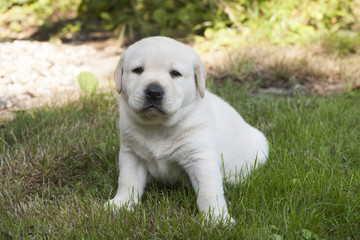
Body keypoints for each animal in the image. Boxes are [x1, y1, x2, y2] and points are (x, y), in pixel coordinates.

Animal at [105, 36, 268, 223]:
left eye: (175, 73)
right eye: (137, 70)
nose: (153, 91)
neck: (159, 126)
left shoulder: (200, 156)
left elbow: (209, 191)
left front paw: (217, 219)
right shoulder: (132, 153)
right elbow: (127, 180)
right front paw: (121, 204)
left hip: (260, 148)